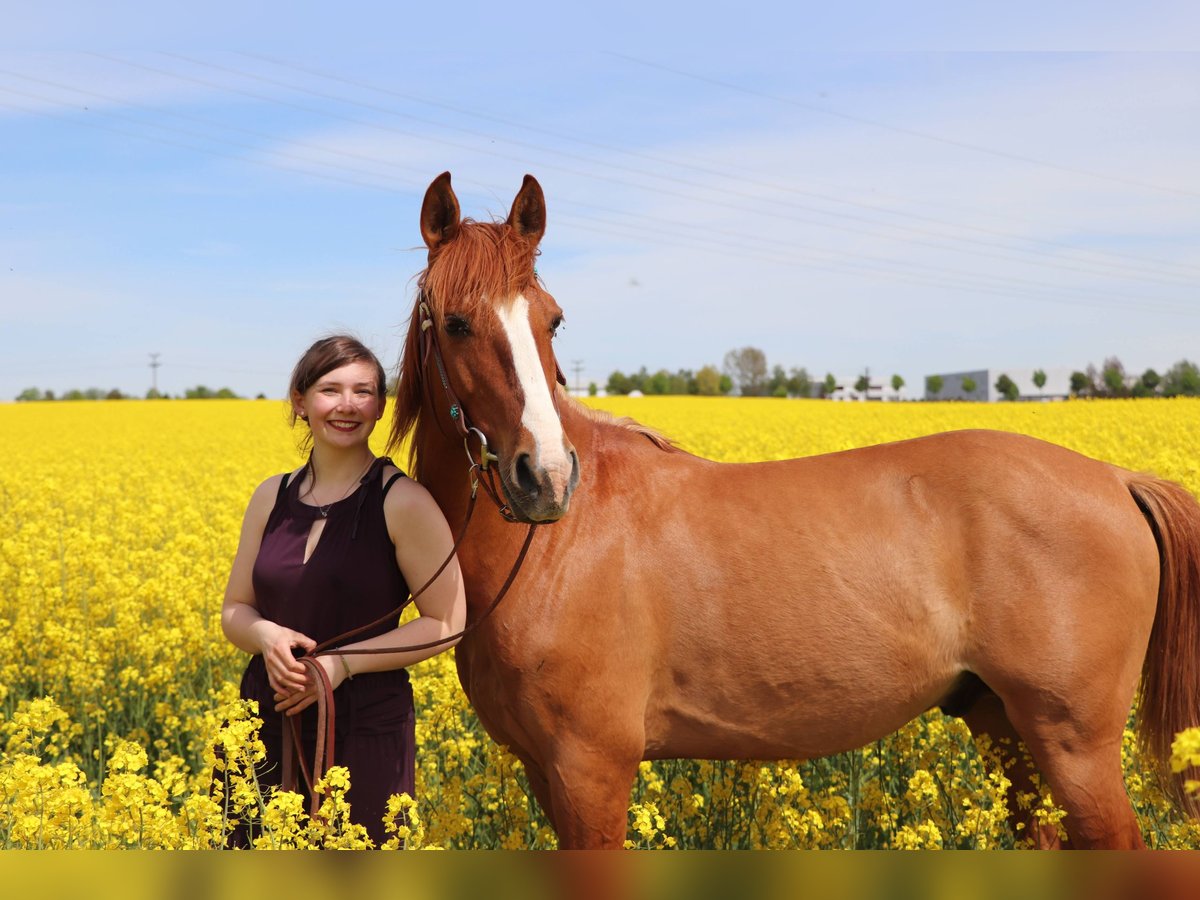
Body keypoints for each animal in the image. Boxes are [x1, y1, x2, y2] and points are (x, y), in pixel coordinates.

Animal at [388, 170, 1200, 854]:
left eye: (552, 321)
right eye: (455, 323)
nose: (546, 478)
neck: (558, 550)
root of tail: (1117, 480)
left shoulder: (592, 770)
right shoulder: (544, 770)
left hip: (1073, 746)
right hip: (1007, 731)